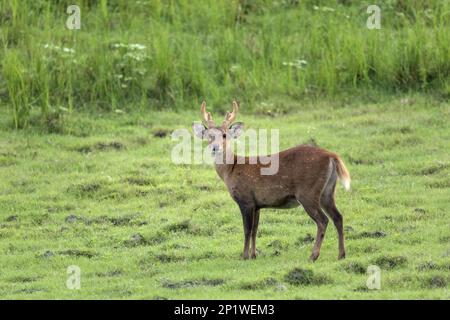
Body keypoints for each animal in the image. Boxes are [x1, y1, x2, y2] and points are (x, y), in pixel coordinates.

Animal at [192, 101, 350, 262]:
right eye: (209, 136)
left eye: (224, 135)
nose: (214, 148)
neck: (231, 169)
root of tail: (332, 156)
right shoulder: (257, 204)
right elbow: (255, 230)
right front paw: (254, 255)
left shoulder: (245, 199)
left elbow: (247, 229)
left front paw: (244, 256)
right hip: (327, 191)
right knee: (338, 217)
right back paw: (341, 254)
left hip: (308, 192)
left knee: (323, 220)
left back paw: (313, 255)